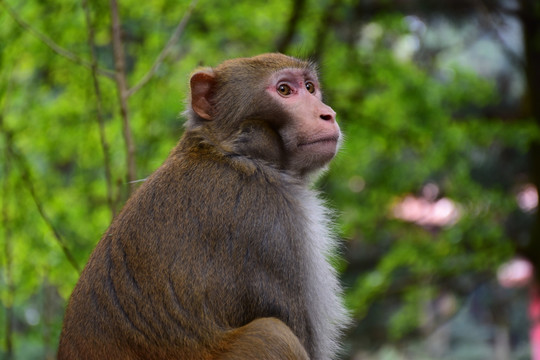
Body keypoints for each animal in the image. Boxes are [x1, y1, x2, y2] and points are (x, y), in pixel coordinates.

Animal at [57, 53, 348, 360]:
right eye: (284, 90)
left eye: (310, 87)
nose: (328, 114)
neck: (230, 153)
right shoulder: (273, 222)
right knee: (272, 333)